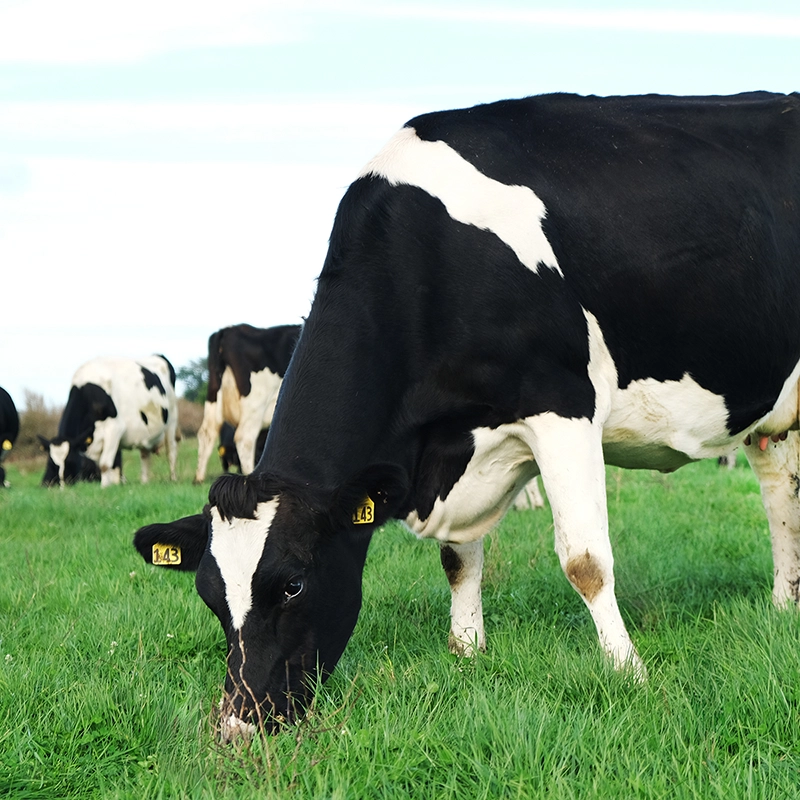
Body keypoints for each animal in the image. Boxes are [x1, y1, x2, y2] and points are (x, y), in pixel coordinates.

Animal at [43, 355, 178, 487]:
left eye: (70, 461)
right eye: (51, 463)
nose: (63, 485)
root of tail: (158, 356)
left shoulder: (114, 429)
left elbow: (104, 465)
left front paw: (104, 488)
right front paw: (112, 485)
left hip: (171, 420)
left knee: (171, 451)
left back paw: (173, 479)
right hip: (146, 432)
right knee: (145, 455)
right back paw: (144, 483)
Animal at [194, 324, 302, 483]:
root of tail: (228, 330)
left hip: (214, 397)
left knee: (207, 433)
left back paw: (199, 479)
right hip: (255, 402)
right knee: (245, 437)